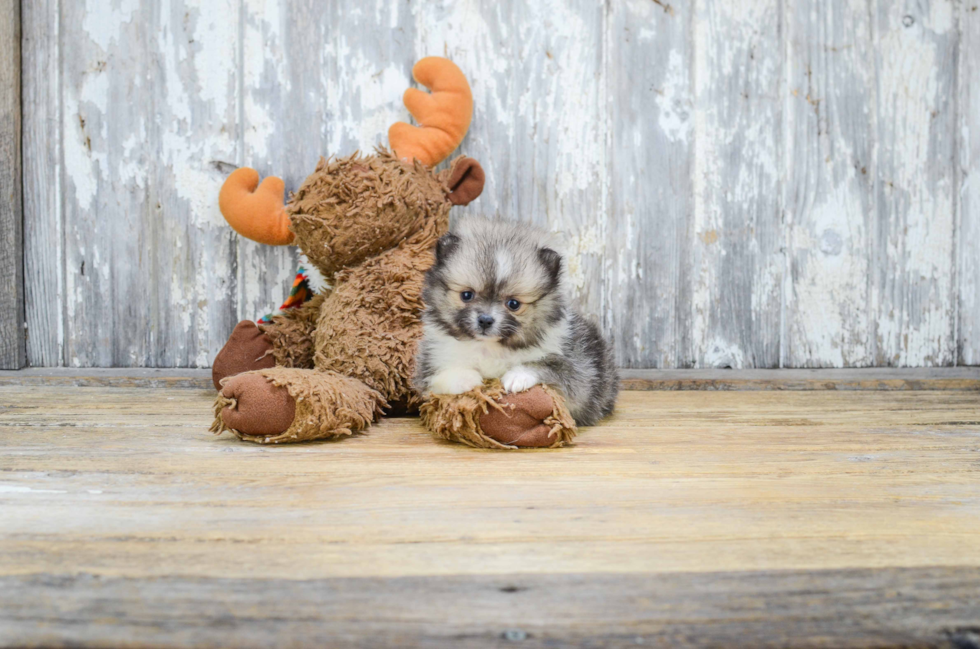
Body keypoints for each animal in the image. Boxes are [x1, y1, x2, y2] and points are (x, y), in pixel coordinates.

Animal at [416, 218, 616, 426]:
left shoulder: (579, 374)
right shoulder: (430, 363)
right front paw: (464, 378)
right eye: (466, 295)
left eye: (513, 304)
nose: (485, 320)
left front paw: (518, 376)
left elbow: (550, 368)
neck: (490, 347)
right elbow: (435, 379)